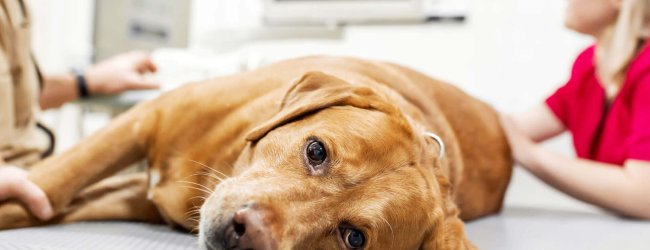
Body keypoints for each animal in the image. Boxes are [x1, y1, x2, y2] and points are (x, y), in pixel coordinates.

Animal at [0, 55, 508, 249]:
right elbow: (52, 182)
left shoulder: (135, 199)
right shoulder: (148, 116)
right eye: (317, 151)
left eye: (354, 239)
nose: (246, 230)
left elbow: (48, 206)